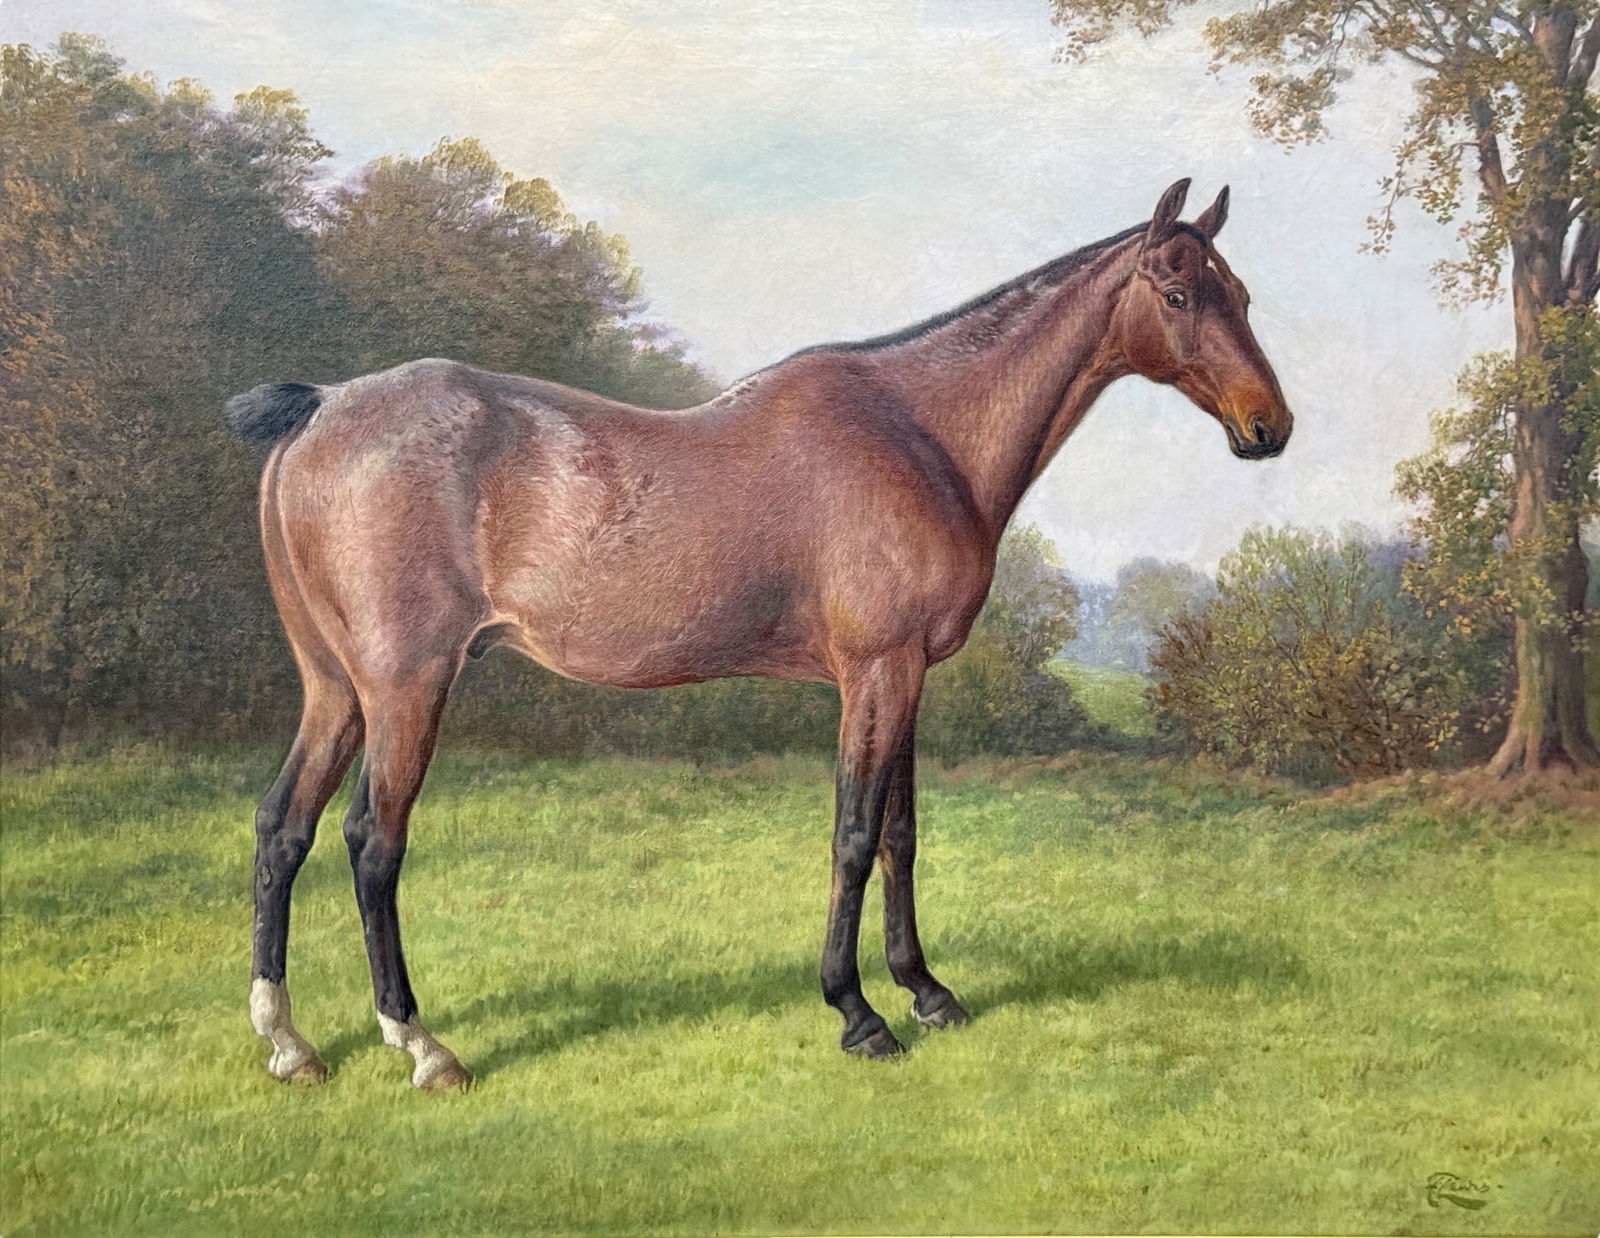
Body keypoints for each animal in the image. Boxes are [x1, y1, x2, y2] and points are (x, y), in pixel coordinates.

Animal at [228, 178, 1292, 1091]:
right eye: (1177, 292)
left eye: (1242, 293)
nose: (1268, 426)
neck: (920, 431)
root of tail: (322, 407)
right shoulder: (877, 672)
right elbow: (855, 835)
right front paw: (858, 1015)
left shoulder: (910, 678)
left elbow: (902, 834)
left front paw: (928, 992)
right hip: (405, 687)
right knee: (373, 842)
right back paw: (423, 1047)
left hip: (334, 689)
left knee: (283, 828)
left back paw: (290, 1043)